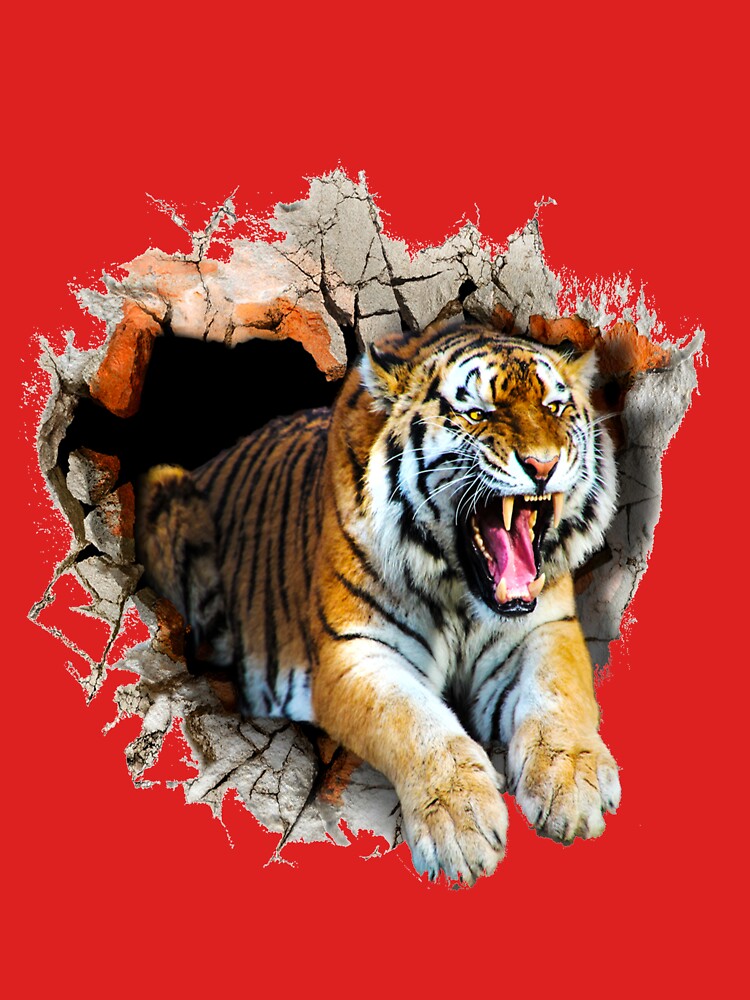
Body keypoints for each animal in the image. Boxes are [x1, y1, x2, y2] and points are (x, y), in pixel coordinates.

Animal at [135, 320, 621, 884]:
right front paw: (460, 825)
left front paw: (572, 787)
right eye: (477, 414)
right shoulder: (355, 652)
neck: (461, 593)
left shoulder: (545, 627)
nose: (543, 465)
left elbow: (558, 693)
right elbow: (415, 722)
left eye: (555, 408)